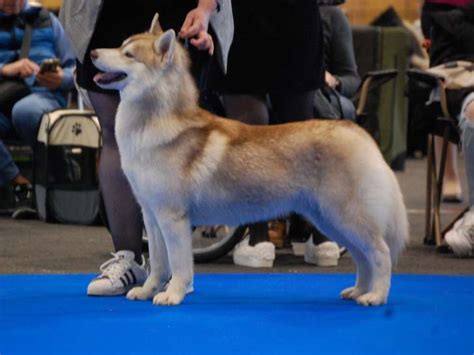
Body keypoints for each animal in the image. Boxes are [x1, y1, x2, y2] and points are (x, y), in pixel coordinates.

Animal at [90, 15, 410, 308]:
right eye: (120, 45)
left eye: (129, 55)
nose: (92, 53)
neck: (154, 122)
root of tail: (357, 132)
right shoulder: (151, 216)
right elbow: (158, 264)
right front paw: (147, 291)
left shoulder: (173, 218)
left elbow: (179, 265)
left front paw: (173, 295)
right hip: (329, 219)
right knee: (362, 257)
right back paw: (358, 291)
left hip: (346, 216)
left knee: (380, 254)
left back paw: (376, 296)